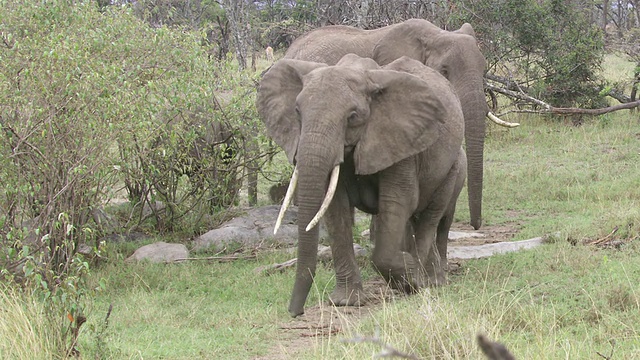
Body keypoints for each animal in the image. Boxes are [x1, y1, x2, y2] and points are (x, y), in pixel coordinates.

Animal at [258, 54, 468, 316]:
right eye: (297, 111)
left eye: (353, 117)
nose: (295, 311)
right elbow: (335, 207)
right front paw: (345, 302)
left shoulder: (401, 140)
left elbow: (398, 201)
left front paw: (409, 277)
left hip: (453, 166)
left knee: (431, 216)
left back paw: (426, 281)